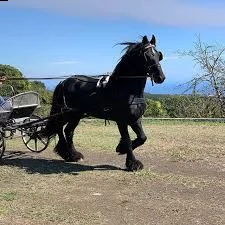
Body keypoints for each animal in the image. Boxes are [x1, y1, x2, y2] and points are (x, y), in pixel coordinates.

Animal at [43, 34, 165, 171]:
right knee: (59, 128)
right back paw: (67, 153)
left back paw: (73, 155)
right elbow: (127, 140)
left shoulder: (135, 119)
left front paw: (121, 149)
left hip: (76, 115)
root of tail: (63, 82)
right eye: (147, 56)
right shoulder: (121, 121)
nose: (160, 77)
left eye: (159, 55)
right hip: (66, 114)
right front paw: (132, 163)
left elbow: (142, 138)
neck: (125, 88)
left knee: (68, 131)